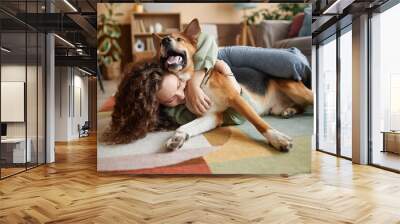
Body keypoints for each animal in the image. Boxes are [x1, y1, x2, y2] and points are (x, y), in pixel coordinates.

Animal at [153, 18, 312, 152]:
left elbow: (259, 123)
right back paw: (290, 110)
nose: (165, 40)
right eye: (161, 44)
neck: (197, 83)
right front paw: (178, 137)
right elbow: (184, 126)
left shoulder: (236, 98)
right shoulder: (212, 116)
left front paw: (277, 138)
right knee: (301, 107)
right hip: (278, 107)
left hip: (292, 88)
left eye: (179, 39)